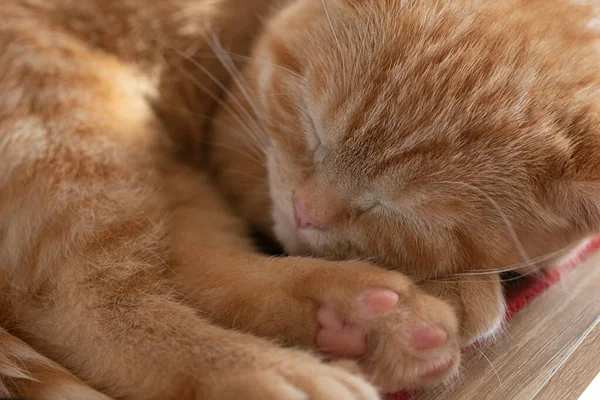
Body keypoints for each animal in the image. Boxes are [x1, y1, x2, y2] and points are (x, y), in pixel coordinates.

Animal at [1, 0, 600, 398]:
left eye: (400, 212)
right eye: (312, 129)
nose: (306, 211)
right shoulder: (233, 138)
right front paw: (467, 289)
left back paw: (359, 320)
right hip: (65, 111)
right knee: (79, 306)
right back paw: (275, 372)